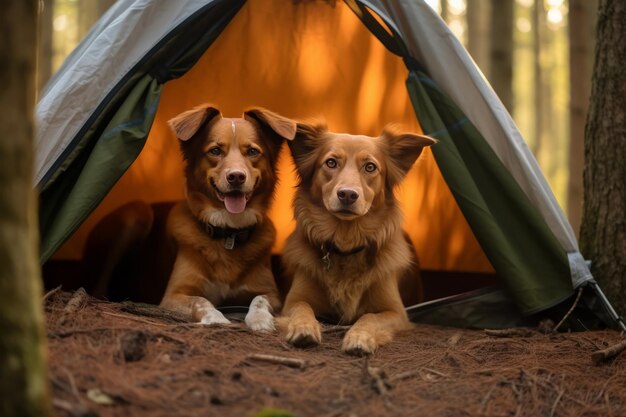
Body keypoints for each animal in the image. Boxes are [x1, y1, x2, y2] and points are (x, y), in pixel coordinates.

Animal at [161, 105, 298, 332]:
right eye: (215, 151)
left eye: (252, 151)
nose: (236, 176)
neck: (229, 232)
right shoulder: (172, 295)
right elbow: (201, 300)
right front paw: (215, 318)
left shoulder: (272, 294)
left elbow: (259, 299)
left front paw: (260, 319)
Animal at [278, 121, 434, 354]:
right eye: (331, 163)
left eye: (370, 167)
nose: (348, 194)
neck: (346, 245)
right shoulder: (294, 300)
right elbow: (301, 308)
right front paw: (303, 328)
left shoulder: (396, 312)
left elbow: (370, 317)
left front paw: (360, 337)